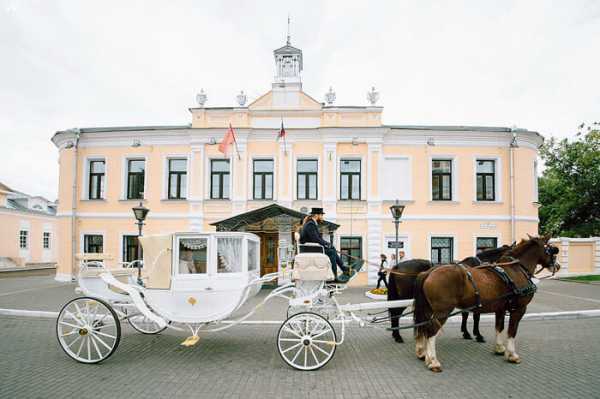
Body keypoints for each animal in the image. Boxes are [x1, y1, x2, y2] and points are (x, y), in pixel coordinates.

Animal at [414, 236, 560, 374]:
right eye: (552, 249)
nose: (557, 266)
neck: (515, 269)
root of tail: (429, 272)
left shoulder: (500, 309)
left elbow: (499, 327)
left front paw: (499, 348)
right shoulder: (519, 309)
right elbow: (512, 331)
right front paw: (512, 355)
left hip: (429, 310)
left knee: (424, 328)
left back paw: (425, 356)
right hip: (443, 312)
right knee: (431, 331)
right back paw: (434, 362)